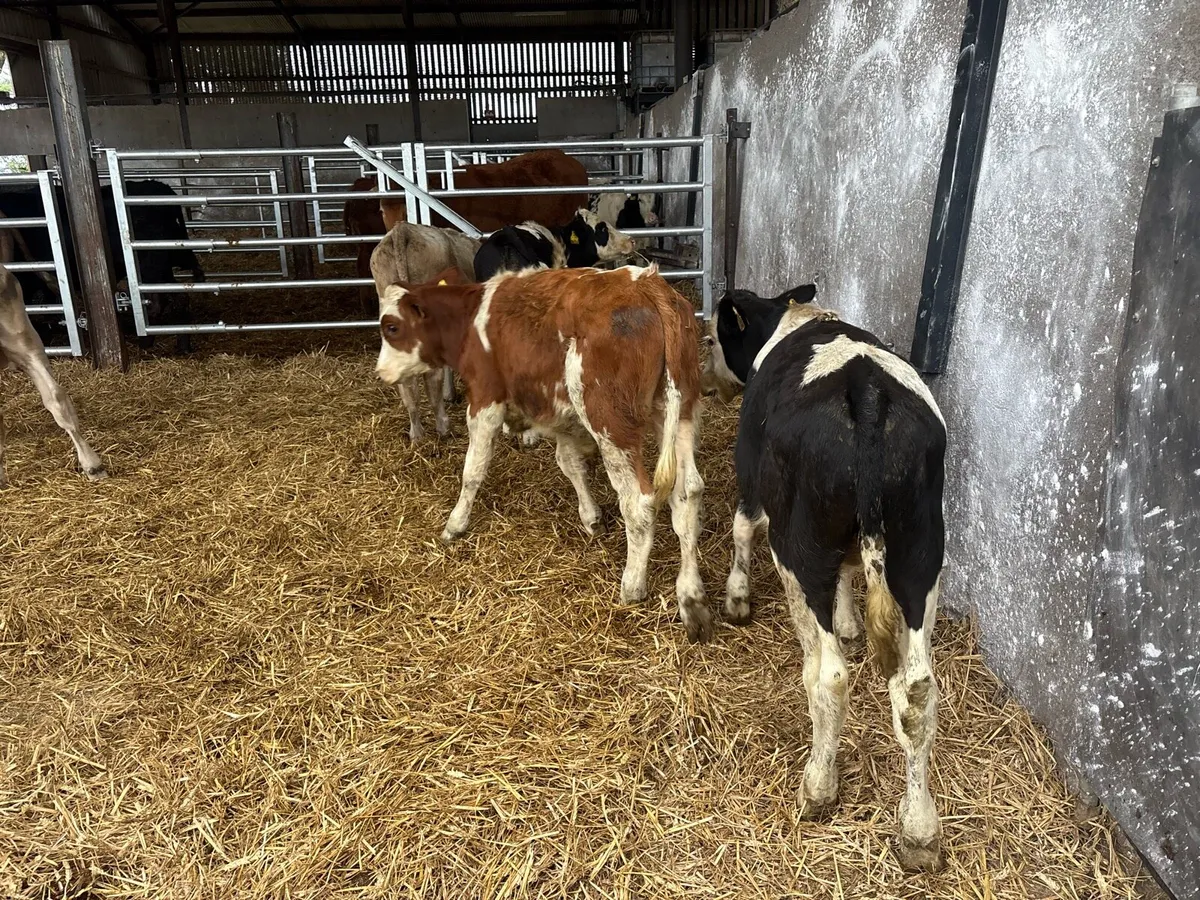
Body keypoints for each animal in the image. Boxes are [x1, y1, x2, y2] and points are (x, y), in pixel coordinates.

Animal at [375, 263, 711, 642]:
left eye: (391, 327)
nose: (380, 371)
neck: (473, 317)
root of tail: (646, 283)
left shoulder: (485, 399)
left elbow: (473, 470)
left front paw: (456, 523)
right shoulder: (559, 414)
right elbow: (569, 464)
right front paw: (590, 516)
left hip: (610, 421)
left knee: (638, 502)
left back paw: (633, 585)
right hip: (679, 411)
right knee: (688, 493)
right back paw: (691, 596)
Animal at [699, 284, 947, 872]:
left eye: (716, 337)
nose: (710, 381)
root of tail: (868, 395)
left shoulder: (751, 476)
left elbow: (743, 528)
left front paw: (737, 598)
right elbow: (850, 574)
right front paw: (852, 619)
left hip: (800, 549)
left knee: (829, 677)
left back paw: (818, 787)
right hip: (921, 556)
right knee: (917, 692)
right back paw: (920, 830)